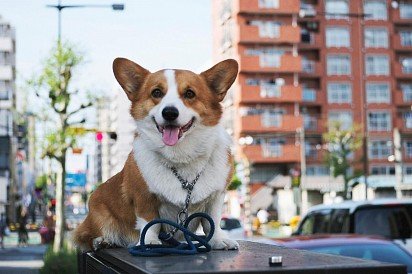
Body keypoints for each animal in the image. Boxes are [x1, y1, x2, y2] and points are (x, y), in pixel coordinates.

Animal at [73, 57, 238, 250]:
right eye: (157, 92)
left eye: (190, 94)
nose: (170, 112)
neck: (181, 158)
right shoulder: (143, 196)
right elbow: (150, 222)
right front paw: (150, 241)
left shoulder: (216, 196)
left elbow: (213, 220)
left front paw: (218, 239)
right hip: (98, 211)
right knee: (88, 236)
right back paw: (103, 241)